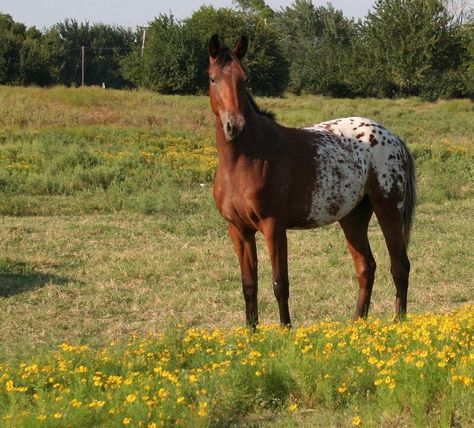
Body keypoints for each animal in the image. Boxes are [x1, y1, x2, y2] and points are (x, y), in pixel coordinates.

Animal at [207, 34, 414, 328]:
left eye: (245, 79)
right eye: (213, 78)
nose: (234, 126)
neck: (245, 160)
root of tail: (393, 137)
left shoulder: (273, 226)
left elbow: (280, 283)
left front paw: (285, 329)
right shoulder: (238, 230)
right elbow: (249, 285)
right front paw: (251, 331)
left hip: (388, 210)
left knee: (399, 265)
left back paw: (399, 322)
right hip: (353, 217)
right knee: (366, 267)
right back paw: (356, 323)